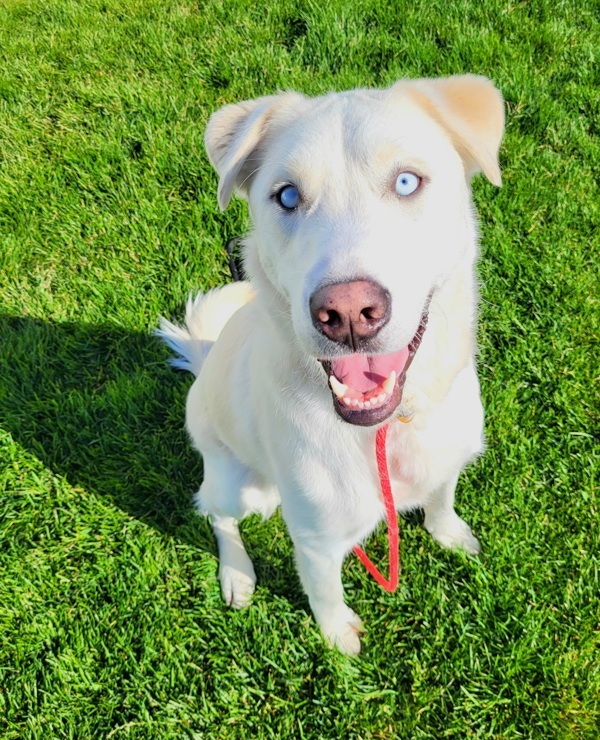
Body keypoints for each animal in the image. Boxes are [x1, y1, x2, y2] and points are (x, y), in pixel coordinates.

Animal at [157, 75, 504, 652]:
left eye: (407, 182)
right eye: (287, 196)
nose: (346, 314)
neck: (388, 428)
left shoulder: (447, 459)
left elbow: (442, 497)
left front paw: (450, 532)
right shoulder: (316, 542)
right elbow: (324, 596)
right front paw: (340, 639)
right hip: (237, 485)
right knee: (214, 512)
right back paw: (237, 574)